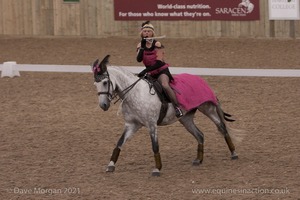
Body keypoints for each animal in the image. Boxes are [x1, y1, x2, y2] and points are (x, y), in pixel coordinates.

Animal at [92, 54, 238, 175]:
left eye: (105, 82)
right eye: (95, 84)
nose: (103, 105)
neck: (135, 93)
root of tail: (201, 80)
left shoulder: (152, 125)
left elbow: (155, 146)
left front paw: (157, 169)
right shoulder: (132, 125)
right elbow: (119, 143)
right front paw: (110, 165)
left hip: (207, 108)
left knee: (221, 127)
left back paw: (234, 153)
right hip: (186, 118)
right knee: (200, 135)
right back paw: (198, 159)